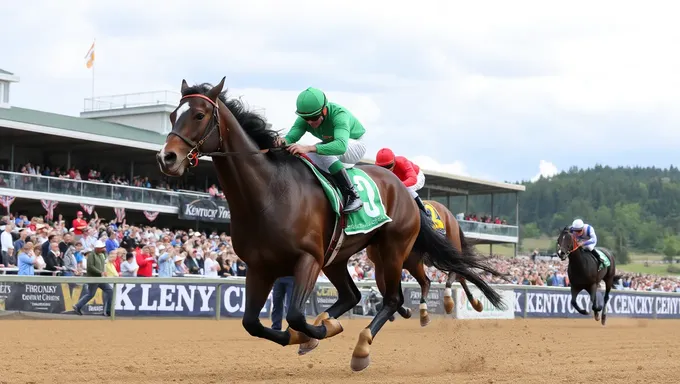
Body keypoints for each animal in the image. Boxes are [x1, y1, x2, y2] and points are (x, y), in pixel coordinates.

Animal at [155, 77, 504, 368]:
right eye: (173, 115)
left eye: (199, 115)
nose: (167, 158)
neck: (269, 193)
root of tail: (401, 188)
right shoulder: (259, 266)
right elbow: (252, 323)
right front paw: (309, 333)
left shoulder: (308, 259)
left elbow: (296, 315)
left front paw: (318, 331)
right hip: (340, 255)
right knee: (353, 295)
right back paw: (332, 321)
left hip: (392, 249)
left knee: (393, 298)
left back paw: (363, 346)